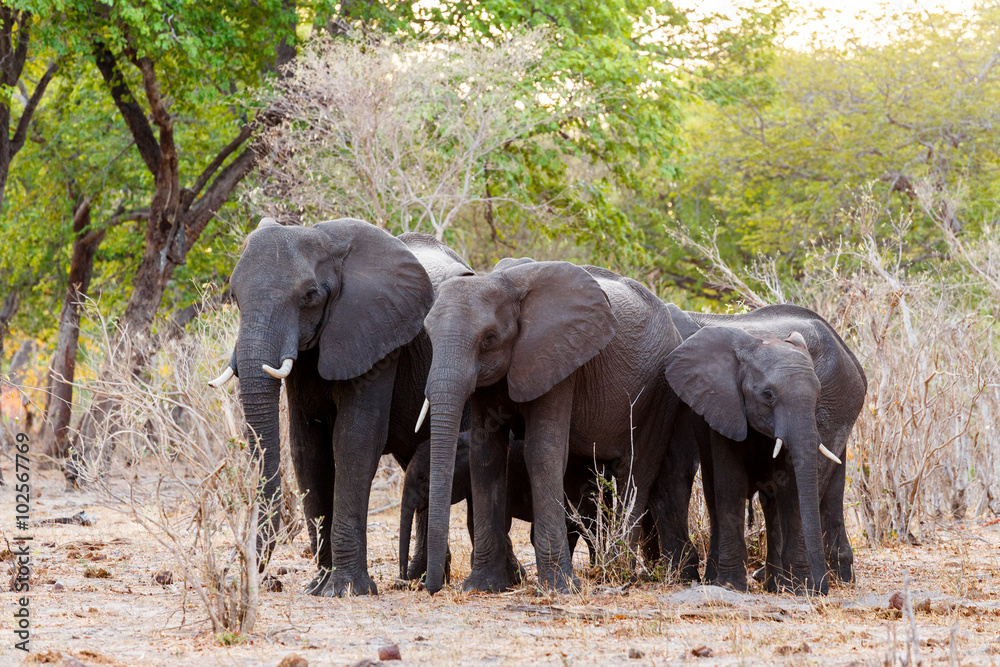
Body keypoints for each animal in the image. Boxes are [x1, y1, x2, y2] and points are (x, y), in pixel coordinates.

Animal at [208, 218, 472, 596]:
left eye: (310, 296)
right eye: (235, 296)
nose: (229, 576)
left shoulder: (378, 335)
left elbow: (354, 440)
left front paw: (346, 589)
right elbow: (307, 447)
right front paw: (318, 586)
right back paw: (420, 578)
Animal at [421, 259, 686, 594]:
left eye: (489, 339)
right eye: (428, 335)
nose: (432, 587)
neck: (504, 283)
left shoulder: (558, 359)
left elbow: (542, 453)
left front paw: (560, 589)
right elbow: (486, 456)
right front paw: (482, 587)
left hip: (660, 393)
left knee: (635, 470)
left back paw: (617, 572)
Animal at [662, 303, 867, 594]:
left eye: (816, 396)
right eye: (768, 396)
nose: (820, 589)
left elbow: (790, 486)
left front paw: (799, 588)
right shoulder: (720, 401)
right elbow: (728, 484)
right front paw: (728, 585)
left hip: (838, 403)